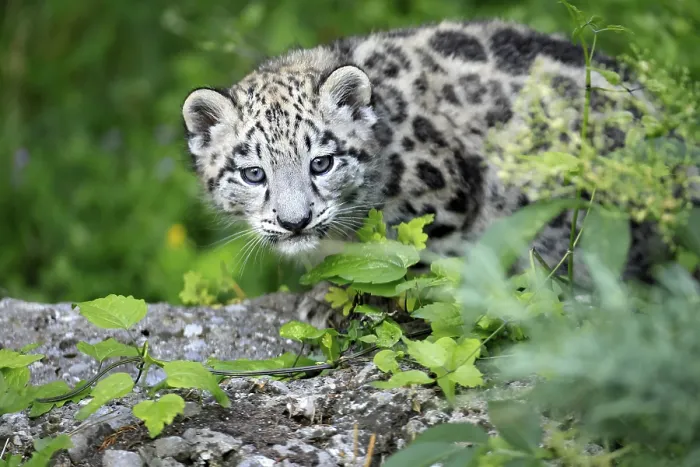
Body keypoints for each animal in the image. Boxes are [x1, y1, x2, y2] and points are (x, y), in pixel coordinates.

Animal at [181, 19, 698, 327]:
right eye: (253, 173)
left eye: (321, 162)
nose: (295, 222)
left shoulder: (444, 202)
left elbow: (414, 259)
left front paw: (343, 300)